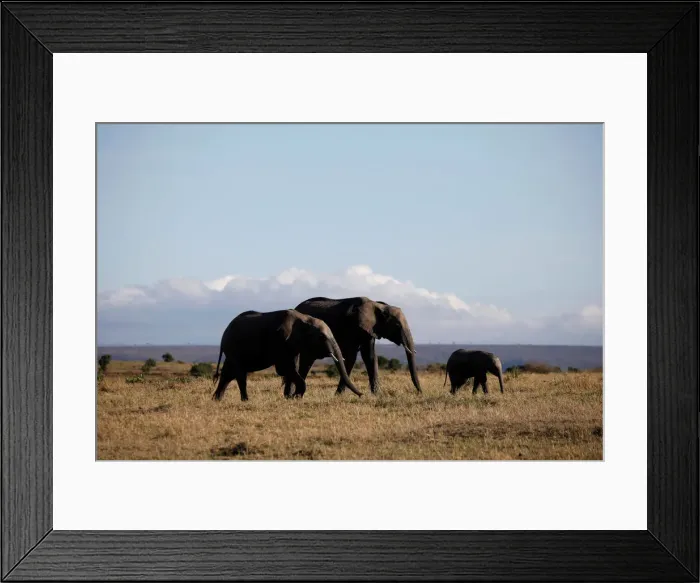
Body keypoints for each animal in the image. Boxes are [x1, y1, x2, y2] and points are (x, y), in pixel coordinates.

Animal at [212, 309, 362, 401]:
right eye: (322, 337)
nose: (362, 394)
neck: (305, 319)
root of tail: (224, 334)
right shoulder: (281, 341)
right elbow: (285, 368)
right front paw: (296, 396)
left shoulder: (292, 345)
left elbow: (291, 368)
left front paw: (289, 397)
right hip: (233, 348)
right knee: (240, 374)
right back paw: (245, 400)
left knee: (228, 373)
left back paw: (216, 399)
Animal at [292, 296, 422, 395]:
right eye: (397, 325)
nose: (420, 393)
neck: (377, 306)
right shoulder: (352, 328)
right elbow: (351, 358)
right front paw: (339, 395)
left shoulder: (369, 330)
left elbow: (370, 357)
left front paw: (377, 395)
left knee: (307, 362)